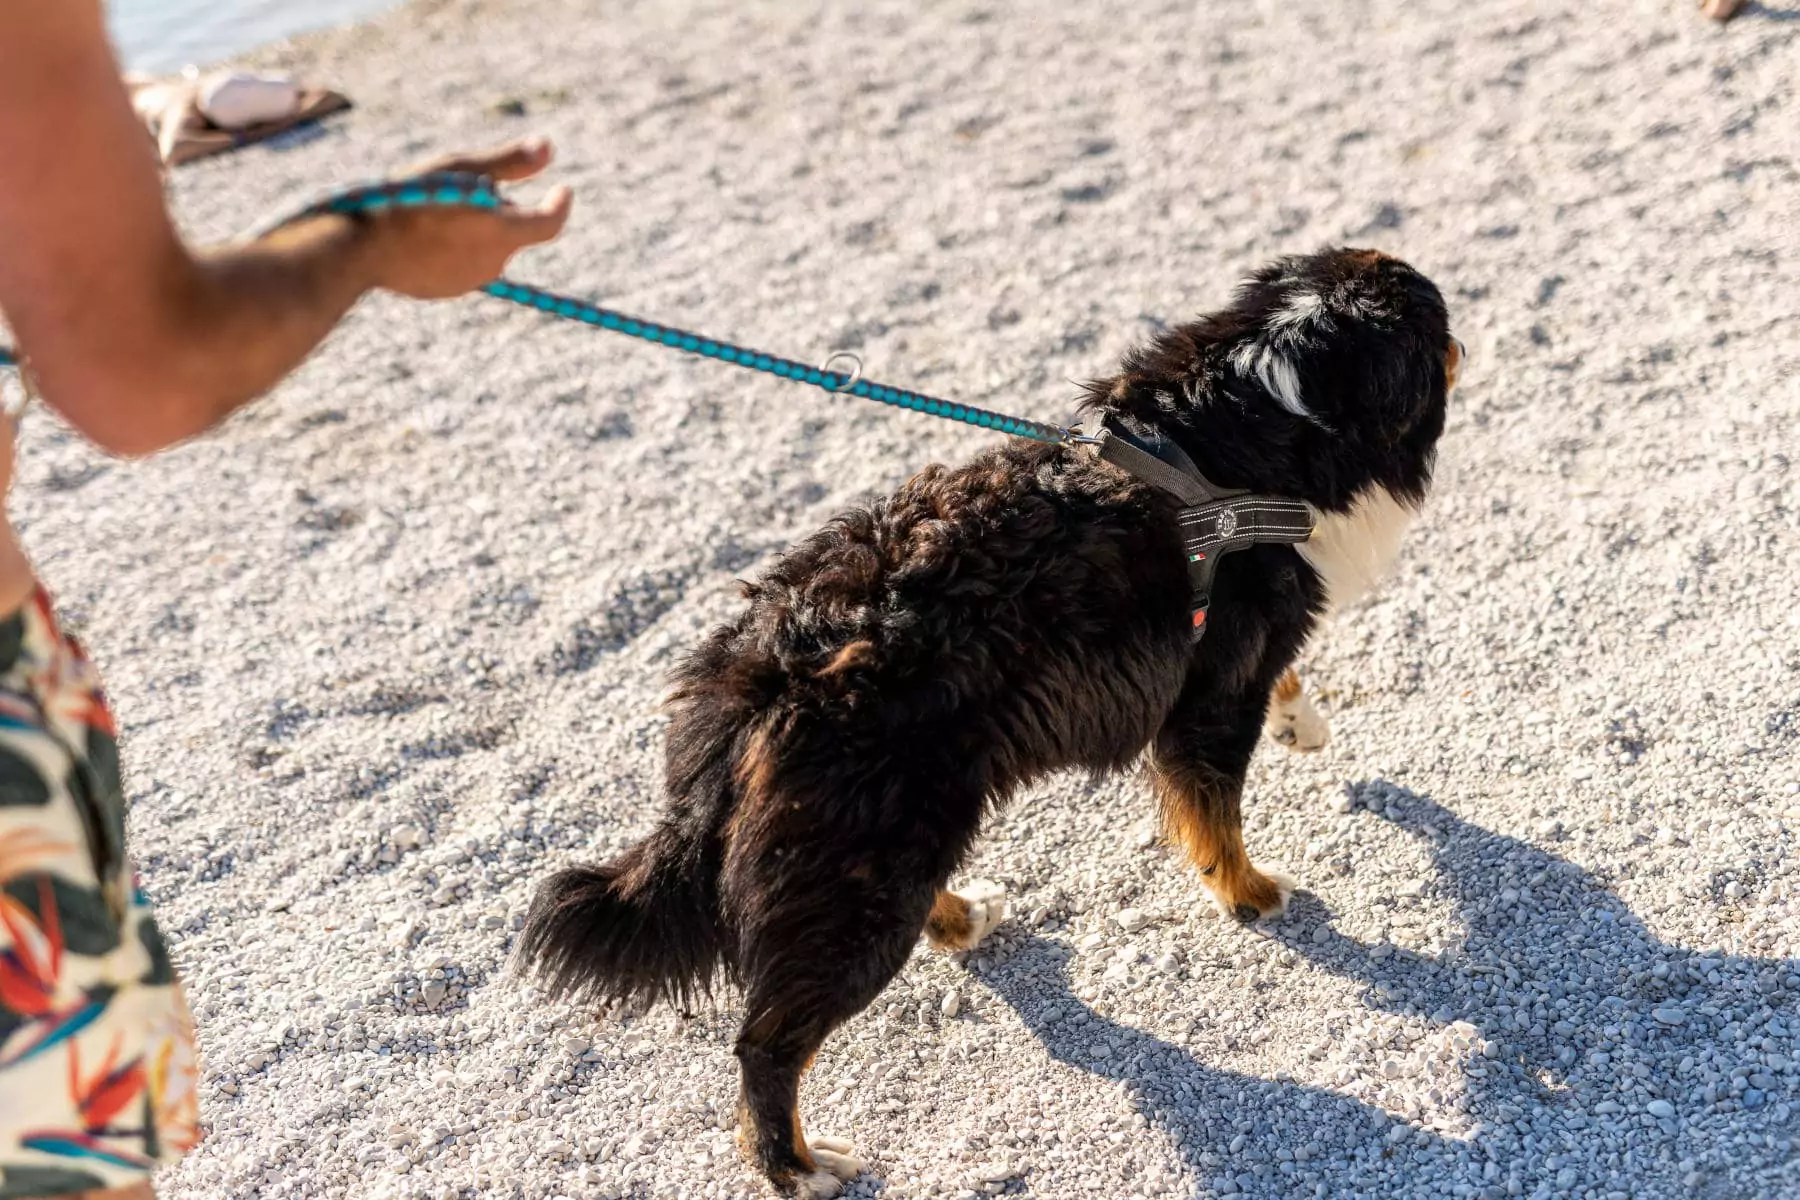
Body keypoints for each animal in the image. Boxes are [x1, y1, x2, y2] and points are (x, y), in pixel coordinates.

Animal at [522, 248, 1461, 1194]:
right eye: (1440, 326)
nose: (1465, 335)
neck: (1248, 431)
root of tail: (757, 667)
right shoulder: (1212, 697)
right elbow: (1216, 816)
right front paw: (1251, 895)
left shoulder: (1233, 655)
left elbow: (1279, 691)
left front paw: (1304, 722)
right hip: (864, 875)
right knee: (767, 1046)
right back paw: (799, 1166)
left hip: (889, 841)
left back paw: (961, 920)